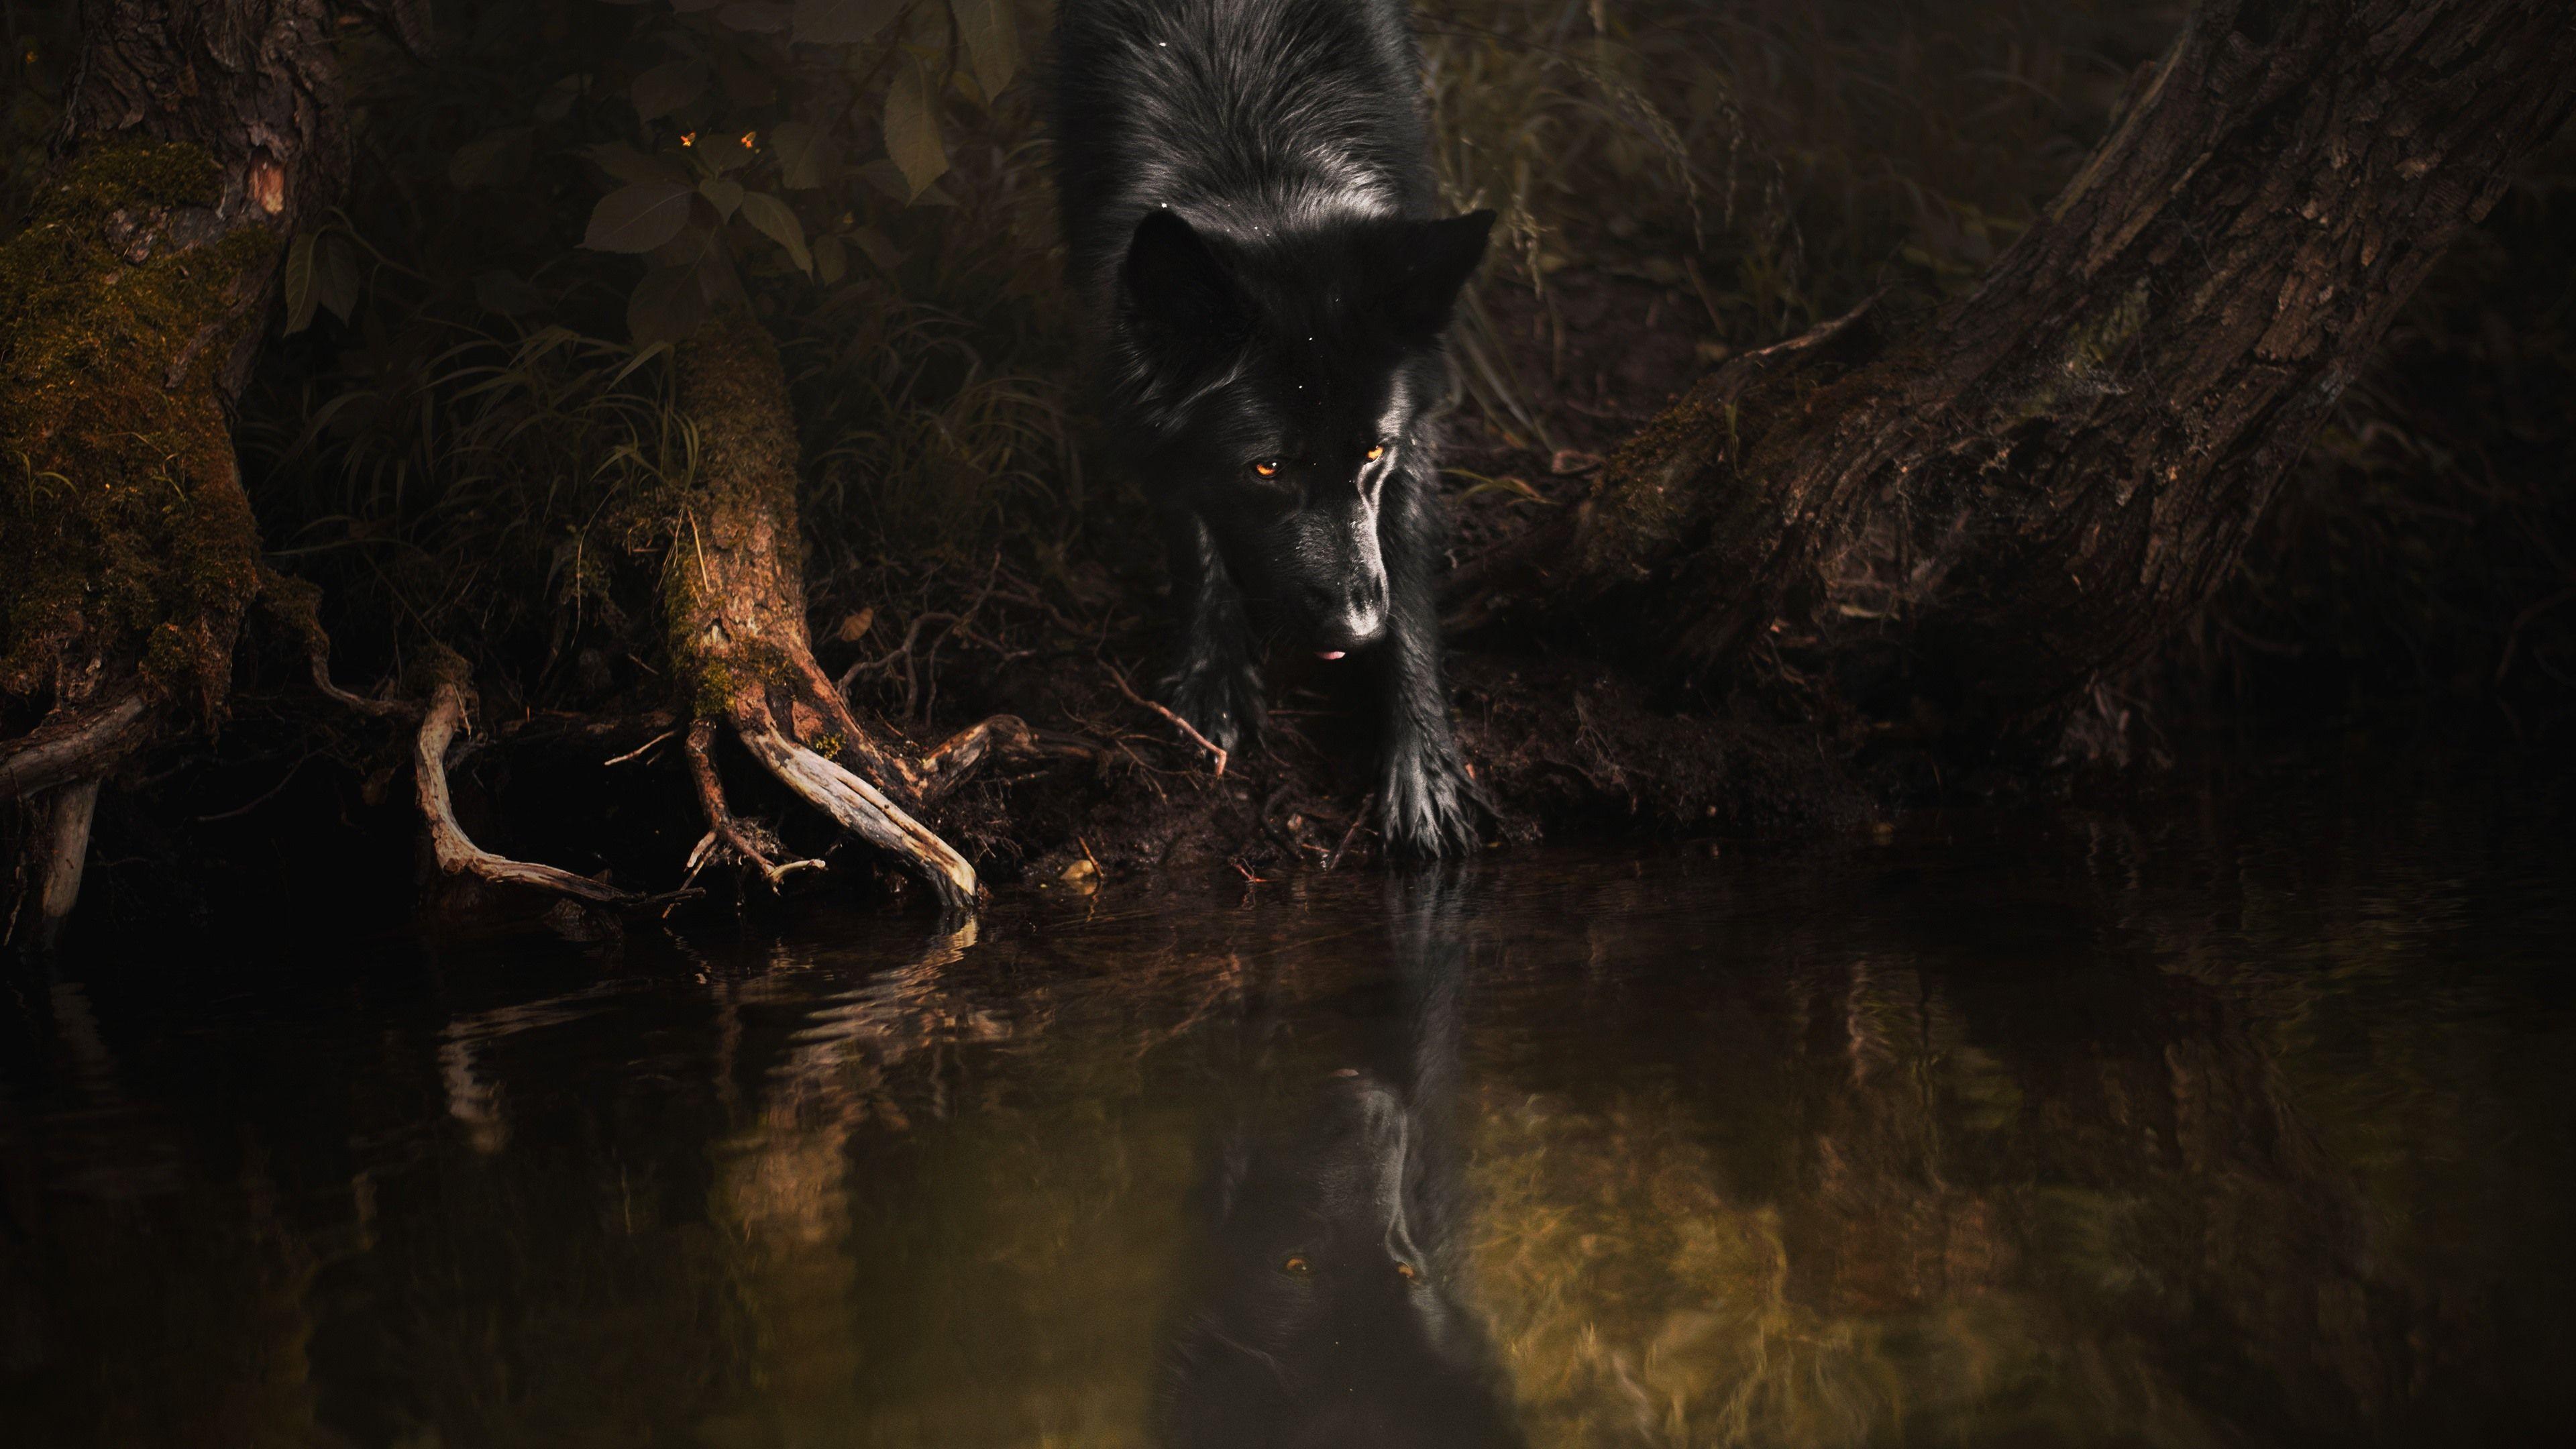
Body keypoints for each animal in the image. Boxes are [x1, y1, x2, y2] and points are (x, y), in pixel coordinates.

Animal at [1054, 0, 1494, 858]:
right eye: (1266, 470)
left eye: (1374, 450)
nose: (1358, 630)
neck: (1255, 150)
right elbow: (1191, 530)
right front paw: (1211, 681)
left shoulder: (1412, 433)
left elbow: (1407, 571)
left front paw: (1423, 760)